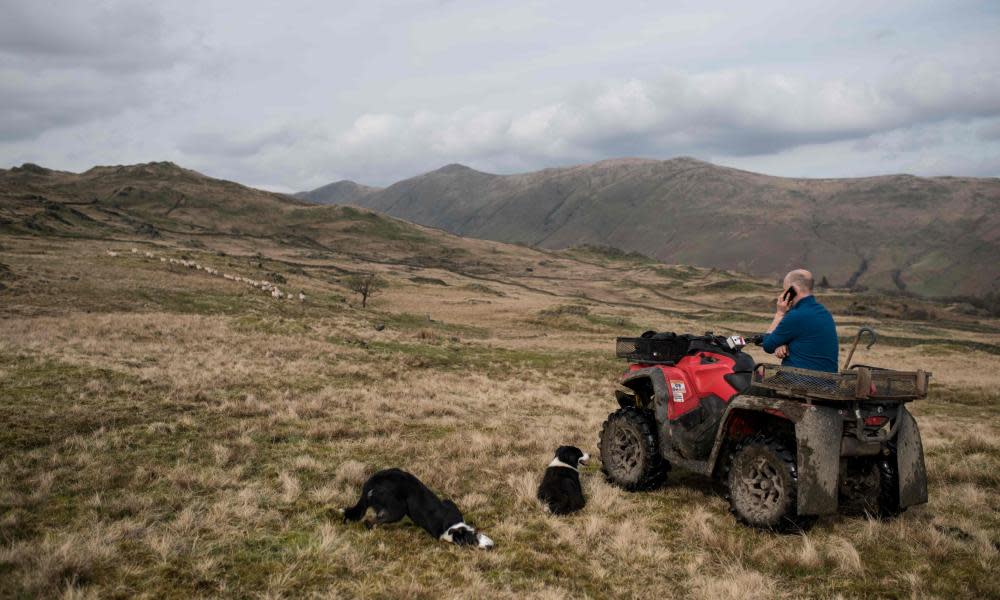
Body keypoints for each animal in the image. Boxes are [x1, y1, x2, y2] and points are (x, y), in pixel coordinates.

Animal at [340, 468, 492, 548]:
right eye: (472, 541)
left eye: (477, 532)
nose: (491, 545)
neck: (450, 524)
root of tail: (371, 481)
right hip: (397, 509)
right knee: (370, 521)